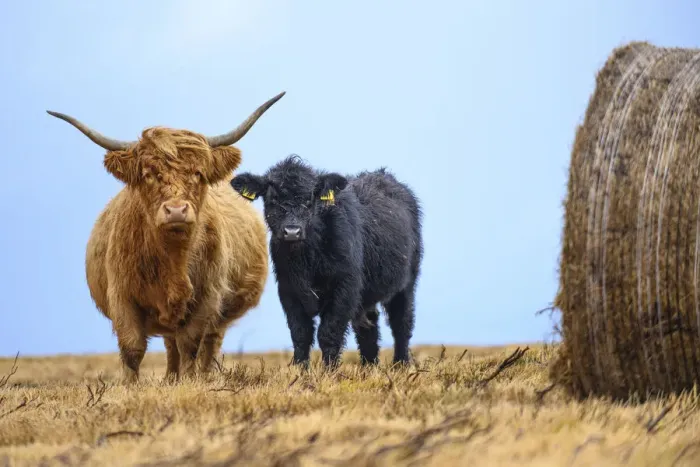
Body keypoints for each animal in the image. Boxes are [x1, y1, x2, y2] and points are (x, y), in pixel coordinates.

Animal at [47, 92, 284, 384]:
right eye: (148, 175)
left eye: (198, 173)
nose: (176, 210)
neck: (173, 263)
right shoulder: (122, 297)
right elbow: (132, 348)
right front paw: (130, 386)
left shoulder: (207, 297)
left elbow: (190, 344)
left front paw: (189, 381)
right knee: (171, 345)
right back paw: (171, 377)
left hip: (219, 315)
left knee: (208, 344)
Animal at [230, 155, 423, 369]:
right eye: (273, 199)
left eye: (309, 199)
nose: (292, 231)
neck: (306, 261)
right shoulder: (288, 291)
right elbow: (300, 334)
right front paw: (300, 370)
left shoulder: (344, 289)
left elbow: (328, 333)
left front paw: (329, 371)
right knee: (368, 328)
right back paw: (369, 367)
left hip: (406, 284)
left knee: (402, 324)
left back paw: (401, 364)